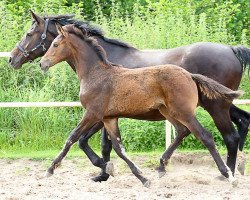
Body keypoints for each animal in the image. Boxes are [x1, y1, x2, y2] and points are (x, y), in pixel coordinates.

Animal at [40, 24, 241, 186]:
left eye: (55, 44)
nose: (42, 63)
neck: (95, 73)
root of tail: (190, 75)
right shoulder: (109, 118)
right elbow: (118, 148)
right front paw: (141, 178)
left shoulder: (92, 113)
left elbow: (72, 138)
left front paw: (50, 169)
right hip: (168, 112)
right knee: (182, 131)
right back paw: (162, 167)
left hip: (186, 112)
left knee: (207, 136)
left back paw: (228, 174)